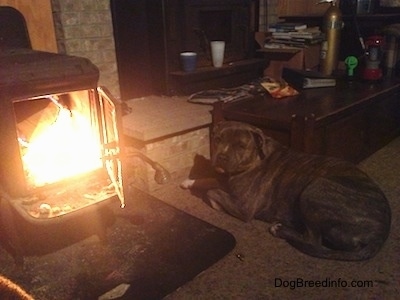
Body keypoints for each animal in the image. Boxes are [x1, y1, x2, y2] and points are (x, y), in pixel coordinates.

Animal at [181, 120, 390, 262]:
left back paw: (280, 229)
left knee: (313, 240)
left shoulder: (243, 207)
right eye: (217, 140)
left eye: (240, 145)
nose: (222, 157)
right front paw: (190, 181)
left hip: (315, 189)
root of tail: (381, 232)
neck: (255, 158)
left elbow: (212, 191)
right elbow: (211, 180)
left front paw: (212, 201)